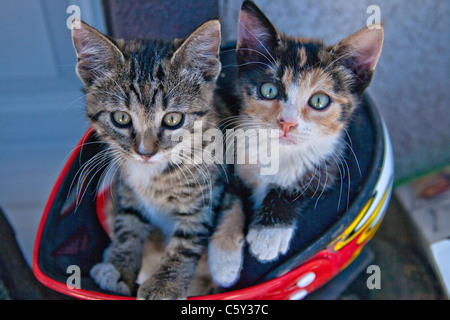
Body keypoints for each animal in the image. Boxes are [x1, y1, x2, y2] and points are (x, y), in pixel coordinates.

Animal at [71, 20, 224, 300]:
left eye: (173, 119)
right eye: (121, 117)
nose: (145, 152)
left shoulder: (207, 195)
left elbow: (187, 239)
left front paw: (164, 284)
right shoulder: (127, 190)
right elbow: (127, 224)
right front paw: (119, 268)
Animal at [210, 0, 384, 286]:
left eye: (319, 101)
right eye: (269, 90)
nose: (287, 123)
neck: (275, 152)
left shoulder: (330, 162)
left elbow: (298, 188)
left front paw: (268, 234)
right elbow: (231, 197)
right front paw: (224, 257)